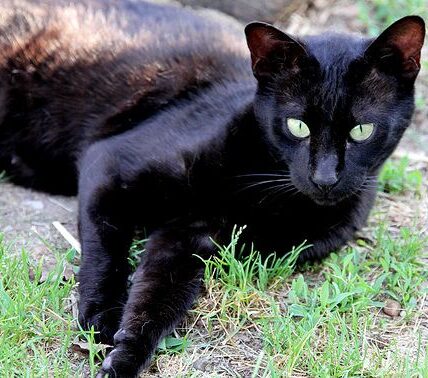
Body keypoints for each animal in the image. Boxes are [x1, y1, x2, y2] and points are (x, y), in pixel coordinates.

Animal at [0, 1, 422, 376]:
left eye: (361, 131)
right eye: (297, 126)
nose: (325, 178)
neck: (263, 191)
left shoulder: (189, 237)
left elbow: (157, 301)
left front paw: (126, 355)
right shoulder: (109, 165)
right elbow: (106, 253)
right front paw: (101, 317)